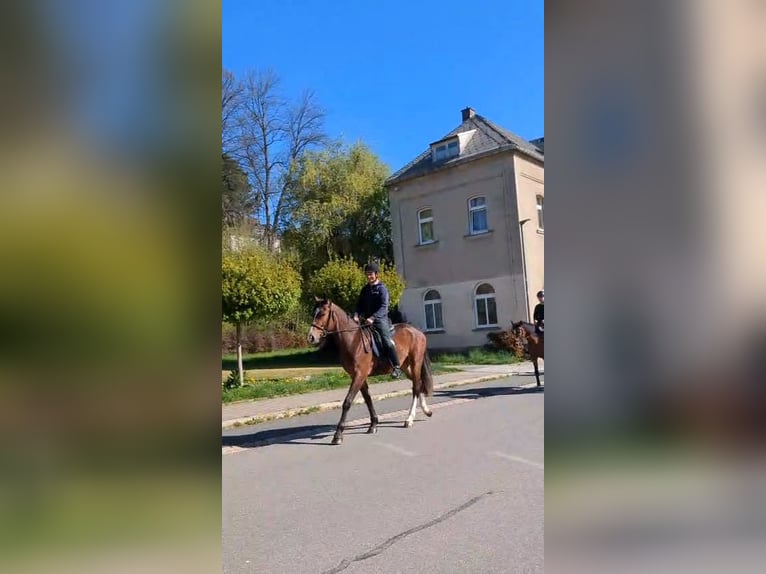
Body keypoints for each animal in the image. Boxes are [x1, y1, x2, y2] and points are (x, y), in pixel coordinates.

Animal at [307, 298, 434, 445]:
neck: (353, 340)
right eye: (314, 313)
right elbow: (368, 399)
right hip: (406, 366)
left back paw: (409, 419)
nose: (311, 337)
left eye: (322, 314)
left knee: (416, 387)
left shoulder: (359, 375)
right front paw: (373, 425)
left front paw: (338, 435)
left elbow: (347, 402)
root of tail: (417, 332)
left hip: (415, 363)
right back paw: (426, 411)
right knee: (418, 383)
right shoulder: (358, 376)